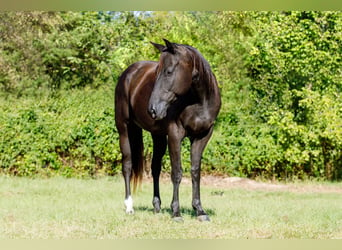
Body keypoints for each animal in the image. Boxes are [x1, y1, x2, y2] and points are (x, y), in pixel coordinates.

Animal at [115, 38, 222, 221]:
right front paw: (176, 212)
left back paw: (157, 206)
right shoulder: (175, 135)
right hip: (124, 129)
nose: (152, 109)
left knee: (155, 168)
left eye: (169, 72)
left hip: (157, 136)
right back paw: (129, 206)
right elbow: (177, 173)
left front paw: (199, 210)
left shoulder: (202, 136)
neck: (199, 101)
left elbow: (195, 171)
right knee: (127, 166)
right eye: (157, 71)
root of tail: (128, 73)